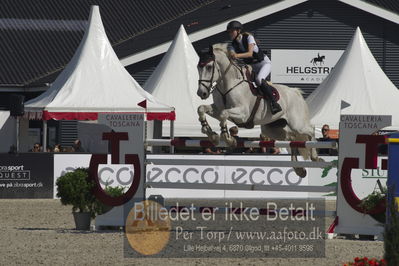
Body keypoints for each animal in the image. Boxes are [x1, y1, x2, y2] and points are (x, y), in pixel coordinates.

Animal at [198, 43, 322, 177]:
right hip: (272, 129)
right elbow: (202, 109)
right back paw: (298, 169)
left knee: (310, 130)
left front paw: (228, 139)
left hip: (297, 124)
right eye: (198, 67)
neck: (228, 84)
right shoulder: (217, 108)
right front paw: (211, 134)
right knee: (292, 138)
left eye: (209, 67)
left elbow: (223, 114)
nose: (201, 93)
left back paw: (315, 157)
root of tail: (296, 92)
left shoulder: (243, 114)